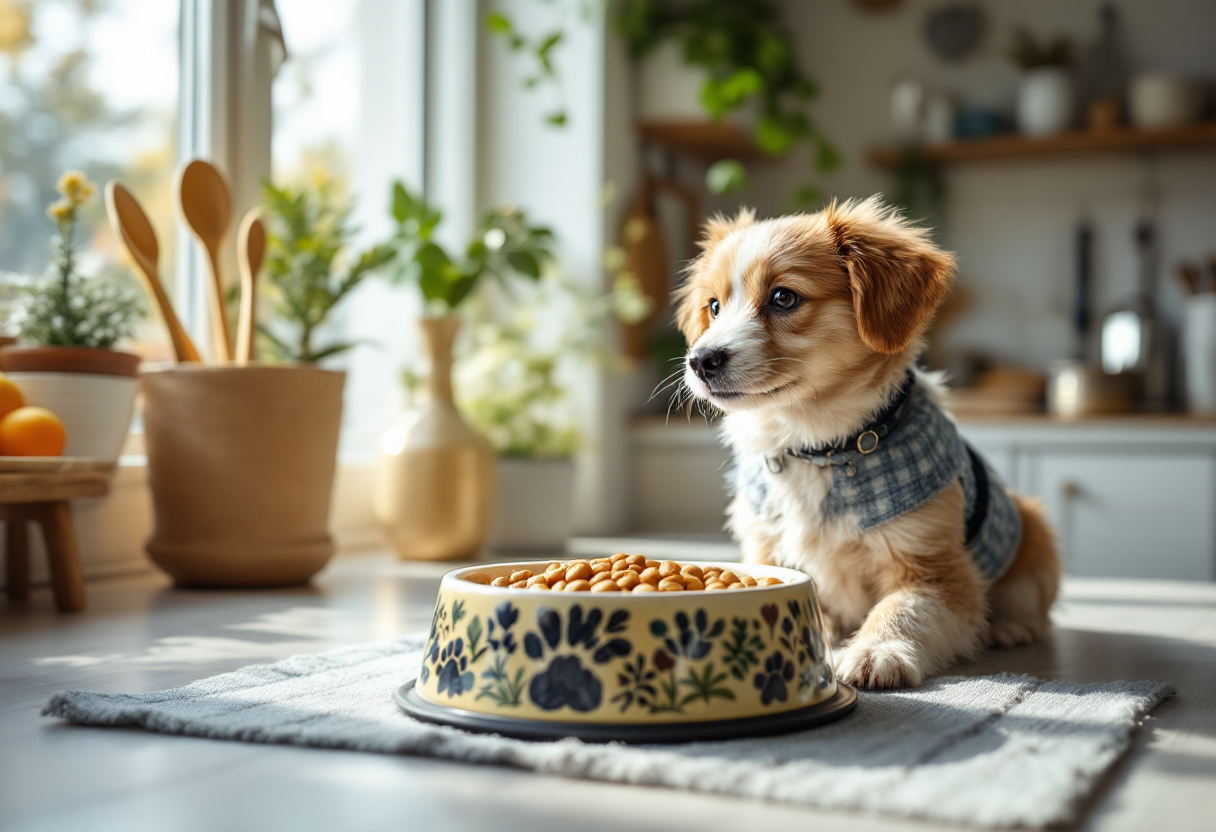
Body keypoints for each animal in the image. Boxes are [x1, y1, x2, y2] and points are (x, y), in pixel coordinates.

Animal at [680, 197, 1060, 690]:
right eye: (713, 306)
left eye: (784, 297)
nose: (700, 360)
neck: (816, 448)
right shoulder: (766, 547)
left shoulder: (935, 567)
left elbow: (903, 609)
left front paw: (876, 650)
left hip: (1033, 528)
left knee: (1031, 604)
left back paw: (1011, 626)